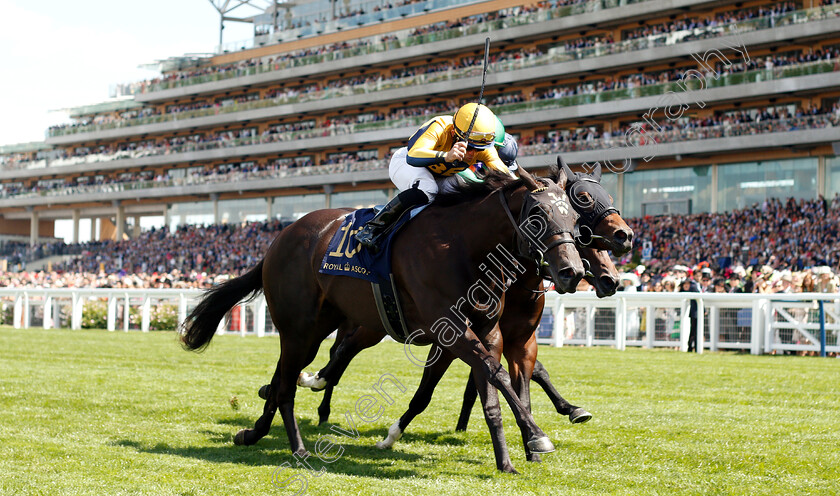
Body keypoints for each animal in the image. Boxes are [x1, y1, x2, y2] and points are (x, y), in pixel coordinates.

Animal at [182, 167, 592, 472]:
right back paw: (297, 447)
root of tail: (279, 239)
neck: (463, 246)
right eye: (538, 216)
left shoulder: (486, 331)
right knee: (289, 382)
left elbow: (492, 387)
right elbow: (499, 376)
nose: (572, 272)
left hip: (319, 325)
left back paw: (255, 432)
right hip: (300, 327)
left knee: (289, 372)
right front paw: (537, 436)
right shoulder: (452, 330)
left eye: (573, 216)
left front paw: (509, 458)